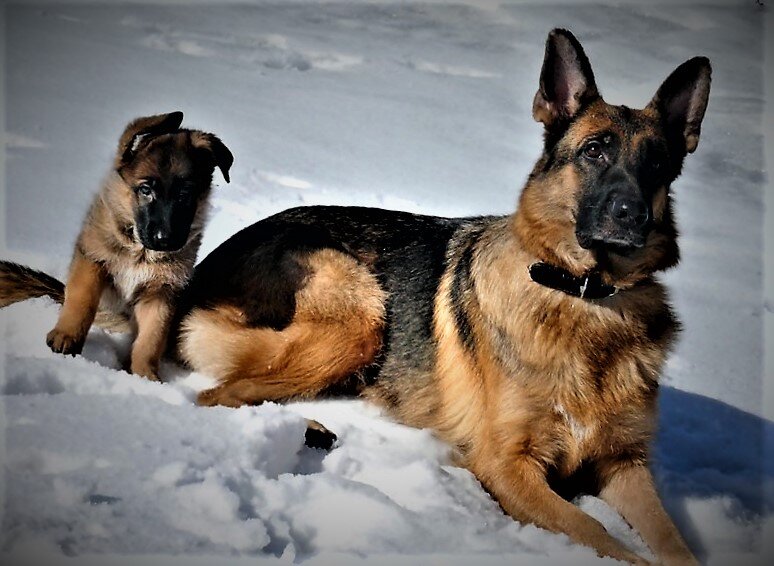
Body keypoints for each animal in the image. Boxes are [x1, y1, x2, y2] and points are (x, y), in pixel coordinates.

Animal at [0, 112, 233, 382]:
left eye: (185, 195)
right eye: (146, 190)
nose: (164, 239)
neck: (140, 251)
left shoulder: (161, 291)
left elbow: (151, 337)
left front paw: (145, 375)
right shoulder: (93, 258)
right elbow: (82, 299)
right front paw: (67, 336)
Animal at [173, 30, 712, 564]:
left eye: (657, 164)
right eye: (594, 151)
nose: (633, 215)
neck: (586, 297)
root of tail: (207, 267)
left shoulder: (625, 464)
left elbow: (675, 545)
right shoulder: (508, 465)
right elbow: (602, 536)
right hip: (360, 314)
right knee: (217, 395)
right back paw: (306, 430)